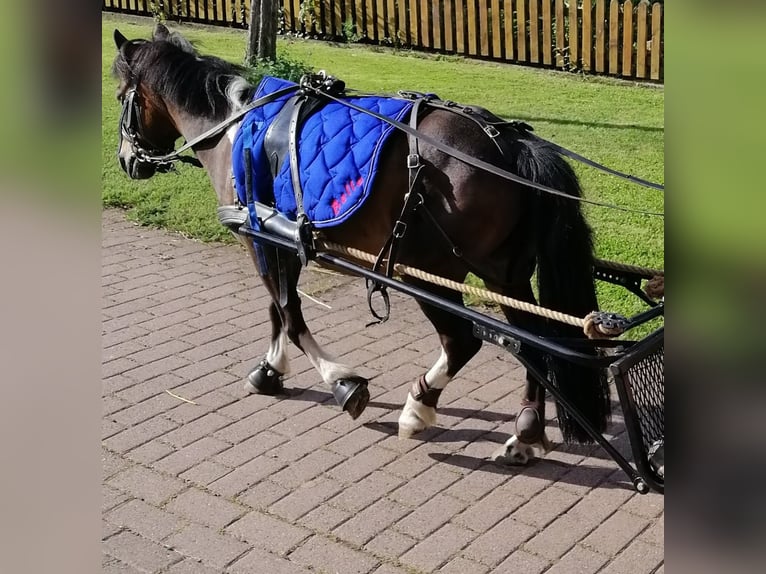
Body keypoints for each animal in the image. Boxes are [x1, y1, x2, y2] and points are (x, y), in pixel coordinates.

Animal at [111, 23, 612, 468]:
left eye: (120, 99)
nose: (126, 160)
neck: (235, 128)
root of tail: (510, 144)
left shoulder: (260, 237)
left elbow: (289, 314)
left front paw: (342, 383)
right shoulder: (279, 237)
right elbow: (278, 309)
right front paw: (270, 370)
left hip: (431, 271)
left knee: (463, 341)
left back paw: (418, 408)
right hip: (502, 274)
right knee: (536, 343)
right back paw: (524, 434)